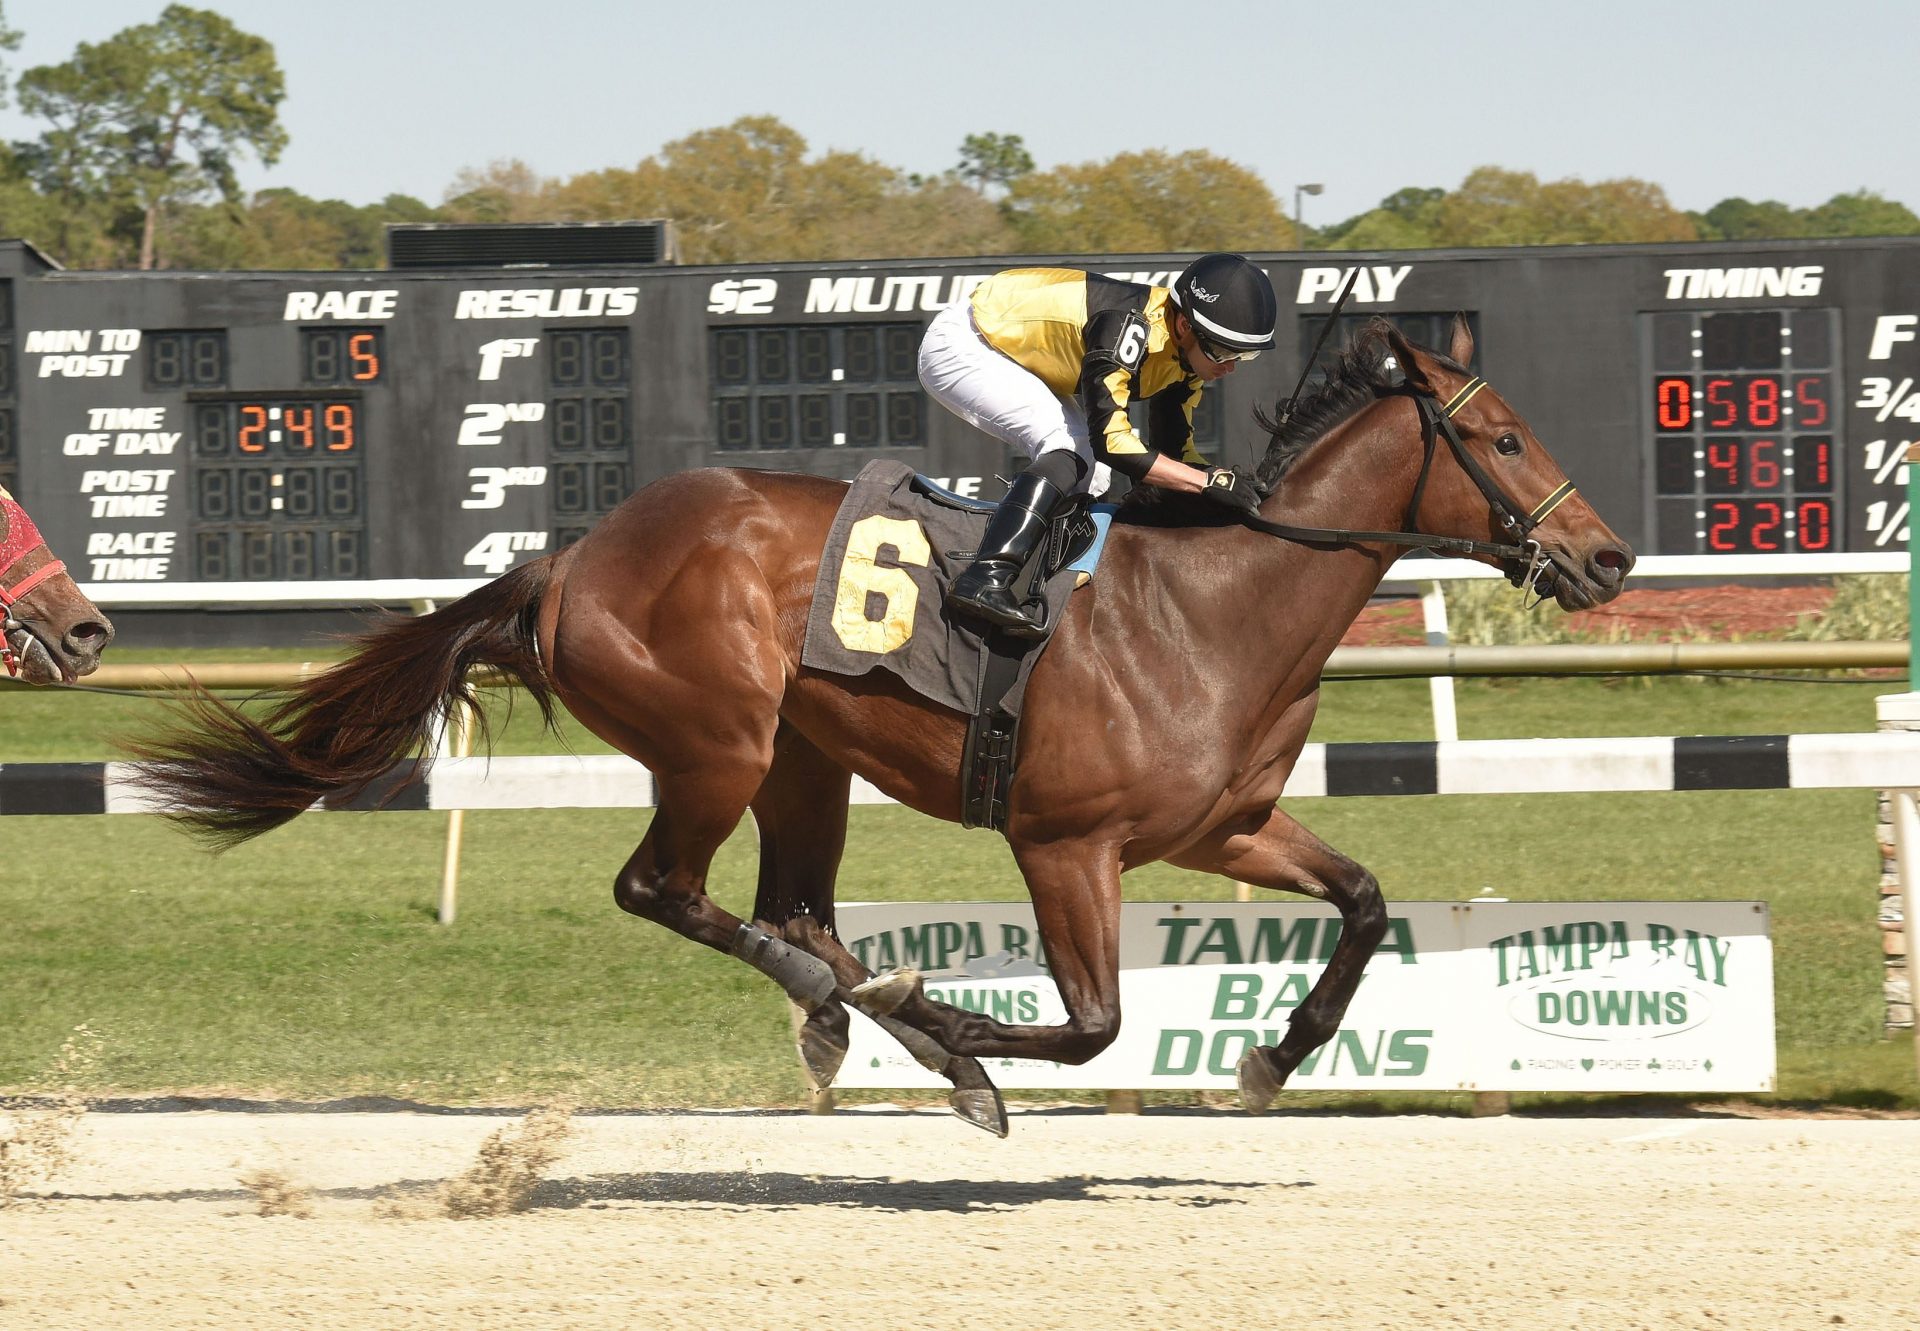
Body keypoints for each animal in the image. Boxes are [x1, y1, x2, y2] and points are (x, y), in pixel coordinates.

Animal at [131, 314, 1635, 1129]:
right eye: (1503, 438)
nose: (1608, 557)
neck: (1213, 604)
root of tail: (570, 559)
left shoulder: (1223, 828)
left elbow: (1367, 902)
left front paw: (1268, 1057)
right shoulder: (1065, 843)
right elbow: (1091, 1023)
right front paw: (964, 1025)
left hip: (806, 760)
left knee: (793, 909)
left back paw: (870, 1017)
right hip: (718, 743)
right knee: (667, 889)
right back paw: (883, 1016)